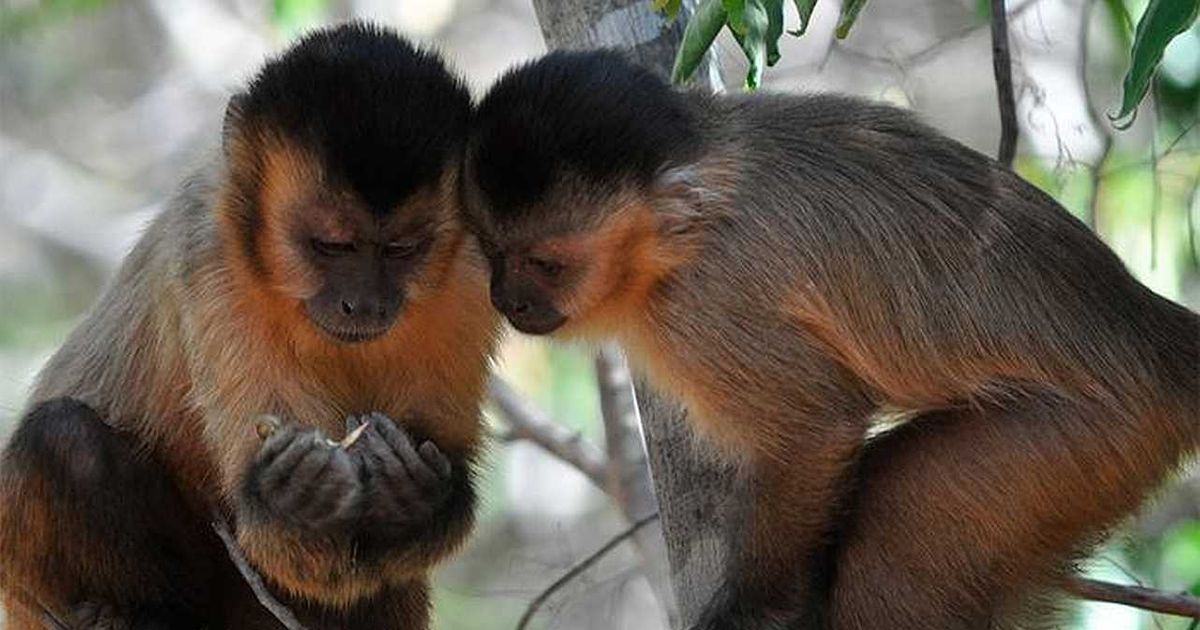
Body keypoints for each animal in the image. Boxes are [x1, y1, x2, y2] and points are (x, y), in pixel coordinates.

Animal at [0, 22, 496, 624]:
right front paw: (296, 499)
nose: (365, 304)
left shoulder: (474, 271)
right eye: (332, 246)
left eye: (401, 249)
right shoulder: (210, 257)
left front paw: (412, 497)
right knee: (64, 438)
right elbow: (281, 542)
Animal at [460, 49, 1200, 628]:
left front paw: (752, 610)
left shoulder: (707, 304)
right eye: (492, 251)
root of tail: (1152, 332)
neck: (681, 234)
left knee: (895, 535)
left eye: (547, 264)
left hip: (1089, 439)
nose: (506, 300)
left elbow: (815, 427)